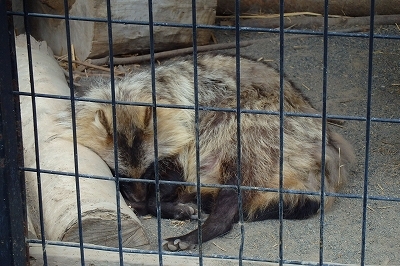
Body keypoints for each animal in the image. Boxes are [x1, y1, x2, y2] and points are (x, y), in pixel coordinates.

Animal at [60, 53, 356, 251]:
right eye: (119, 172)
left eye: (146, 170)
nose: (138, 197)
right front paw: (155, 204)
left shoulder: (186, 140)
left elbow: (171, 177)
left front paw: (155, 203)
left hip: (250, 133)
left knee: (231, 200)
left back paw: (200, 228)